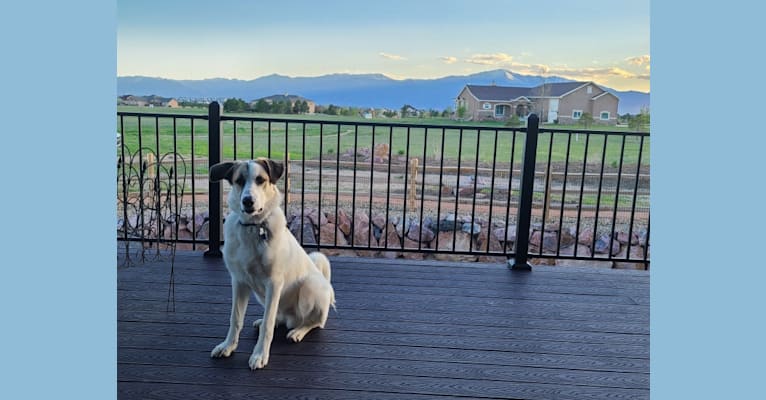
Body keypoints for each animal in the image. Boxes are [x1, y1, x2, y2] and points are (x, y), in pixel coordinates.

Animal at [208, 158, 334, 370]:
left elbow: (268, 326)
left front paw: (260, 355)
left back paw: (298, 331)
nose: (247, 201)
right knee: (278, 315)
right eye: (239, 180)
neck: (253, 227)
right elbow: (236, 318)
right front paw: (228, 346)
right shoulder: (239, 281)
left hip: (310, 287)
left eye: (260, 180)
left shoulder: (273, 283)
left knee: (315, 321)